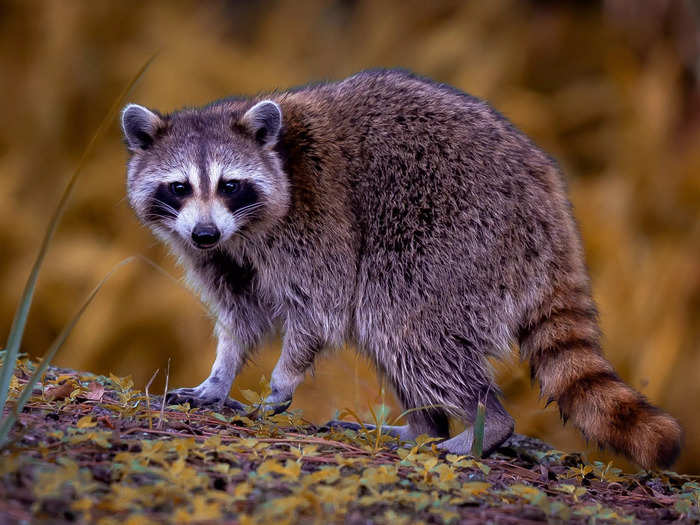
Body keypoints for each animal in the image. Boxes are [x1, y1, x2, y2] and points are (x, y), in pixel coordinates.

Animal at [121, 68, 684, 466]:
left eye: (230, 185)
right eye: (179, 187)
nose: (205, 233)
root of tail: (550, 202)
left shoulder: (318, 219)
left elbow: (320, 309)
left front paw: (282, 378)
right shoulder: (217, 255)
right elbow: (242, 316)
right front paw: (220, 375)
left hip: (457, 235)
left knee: (398, 319)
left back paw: (486, 424)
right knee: (397, 336)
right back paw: (423, 427)